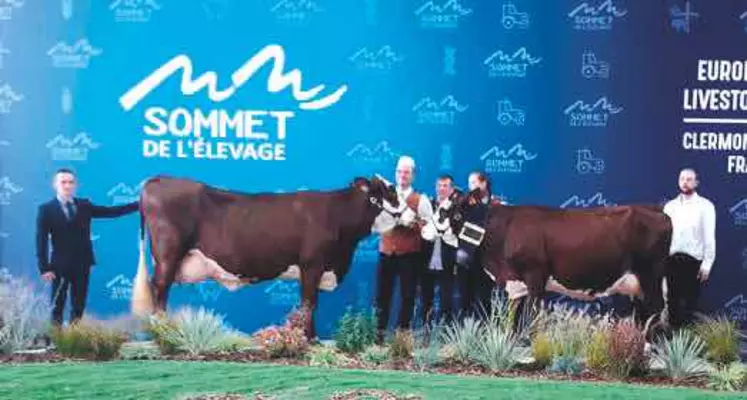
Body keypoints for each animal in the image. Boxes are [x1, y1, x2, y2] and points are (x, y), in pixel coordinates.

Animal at [134, 175, 404, 338]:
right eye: (387, 193)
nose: (407, 213)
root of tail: (156, 180)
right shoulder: (312, 264)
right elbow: (309, 303)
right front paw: (311, 339)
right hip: (168, 254)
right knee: (160, 288)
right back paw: (161, 331)